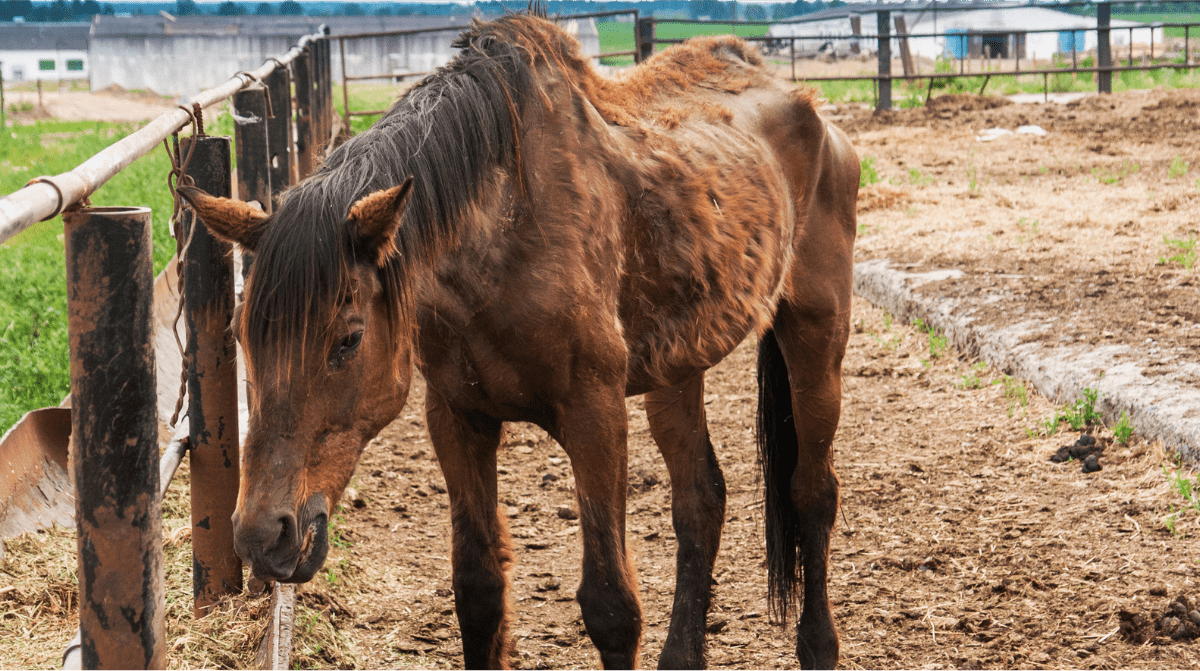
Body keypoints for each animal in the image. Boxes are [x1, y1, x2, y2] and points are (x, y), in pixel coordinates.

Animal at [177, 11, 859, 671]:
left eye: (348, 339)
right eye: (239, 335)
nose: (262, 536)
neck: (505, 233)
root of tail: (804, 104)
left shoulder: (595, 415)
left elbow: (611, 605)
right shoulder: (458, 418)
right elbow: (478, 590)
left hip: (817, 333)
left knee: (812, 492)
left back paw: (819, 647)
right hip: (678, 364)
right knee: (700, 500)